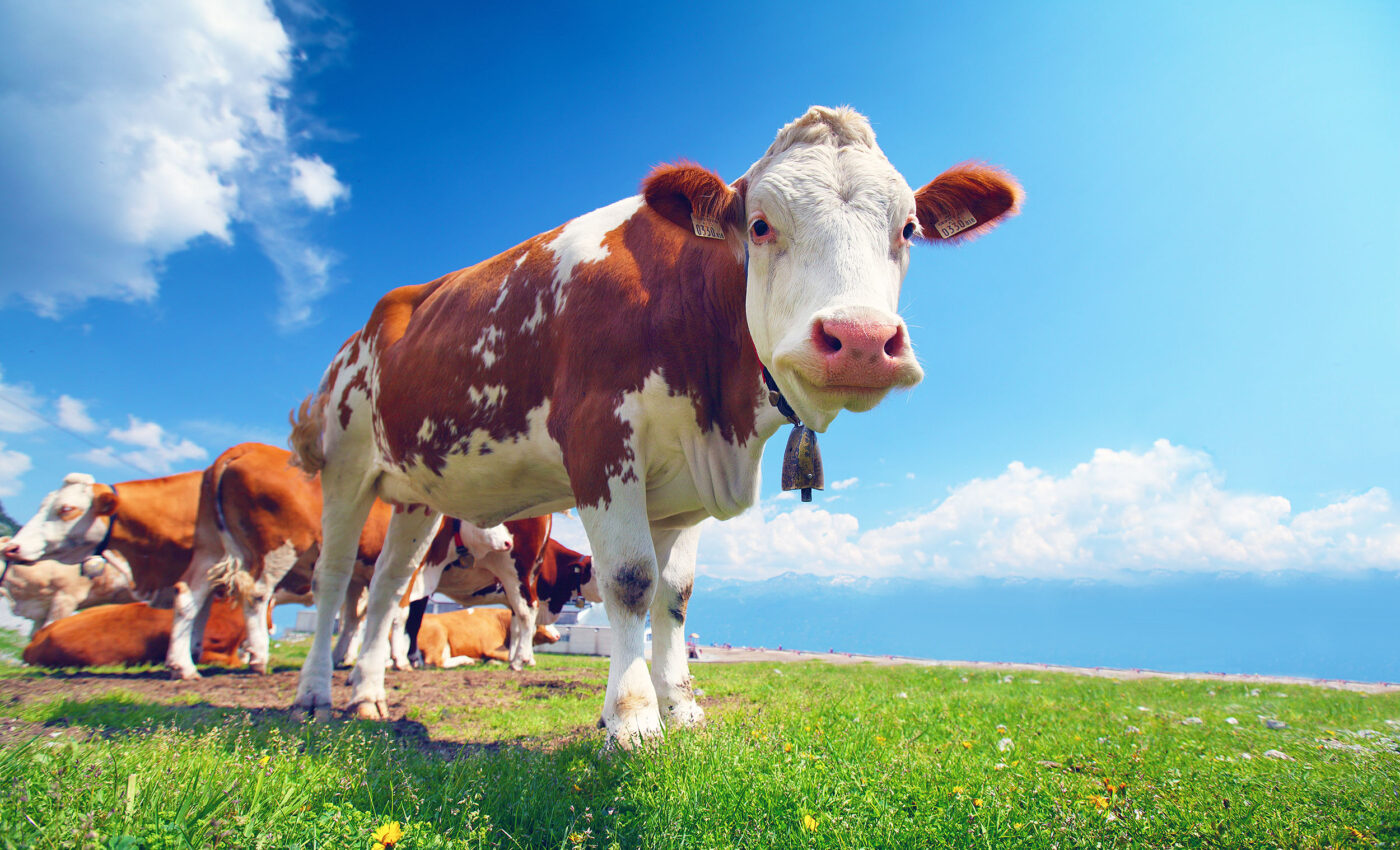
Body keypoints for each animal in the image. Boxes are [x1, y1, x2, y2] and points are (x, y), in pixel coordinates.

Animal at [414, 607, 560, 668]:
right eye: (545, 622)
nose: (558, 635)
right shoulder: (491, 647)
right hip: (438, 635)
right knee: (437, 661)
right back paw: (467, 660)